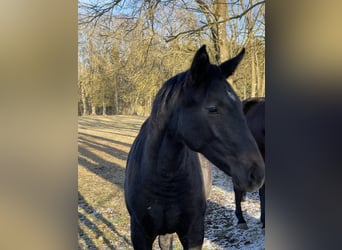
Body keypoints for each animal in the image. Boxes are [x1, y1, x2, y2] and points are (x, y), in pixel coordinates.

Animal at [123, 45, 264, 250]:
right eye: (212, 108)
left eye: (239, 106)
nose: (257, 173)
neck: (164, 180)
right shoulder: (140, 234)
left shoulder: (194, 232)